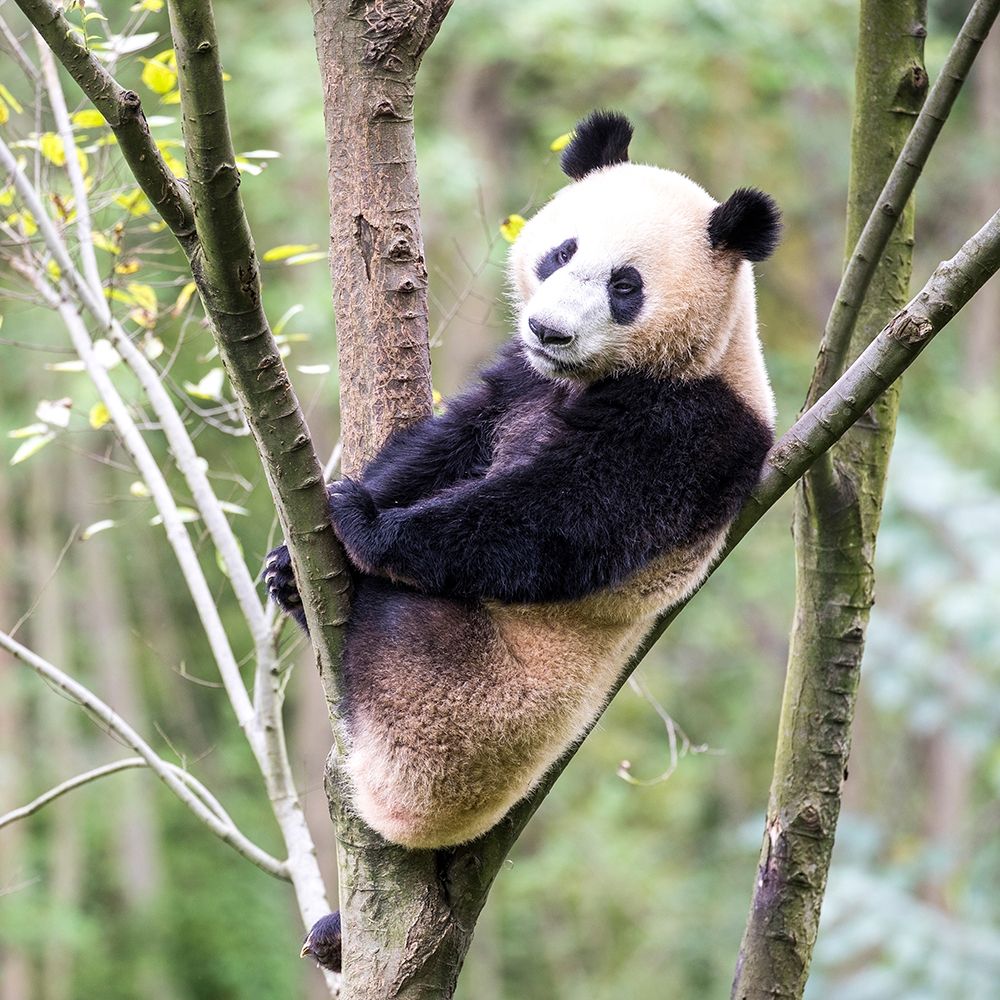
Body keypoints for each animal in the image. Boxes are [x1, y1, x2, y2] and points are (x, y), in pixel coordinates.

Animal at [266, 109, 779, 853]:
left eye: (625, 286)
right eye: (561, 253)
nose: (549, 330)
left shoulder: (696, 428)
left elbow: (567, 516)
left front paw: (365, 524)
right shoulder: (520, 378)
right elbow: (449, 446)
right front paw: (299, 546)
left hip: (462, 696)